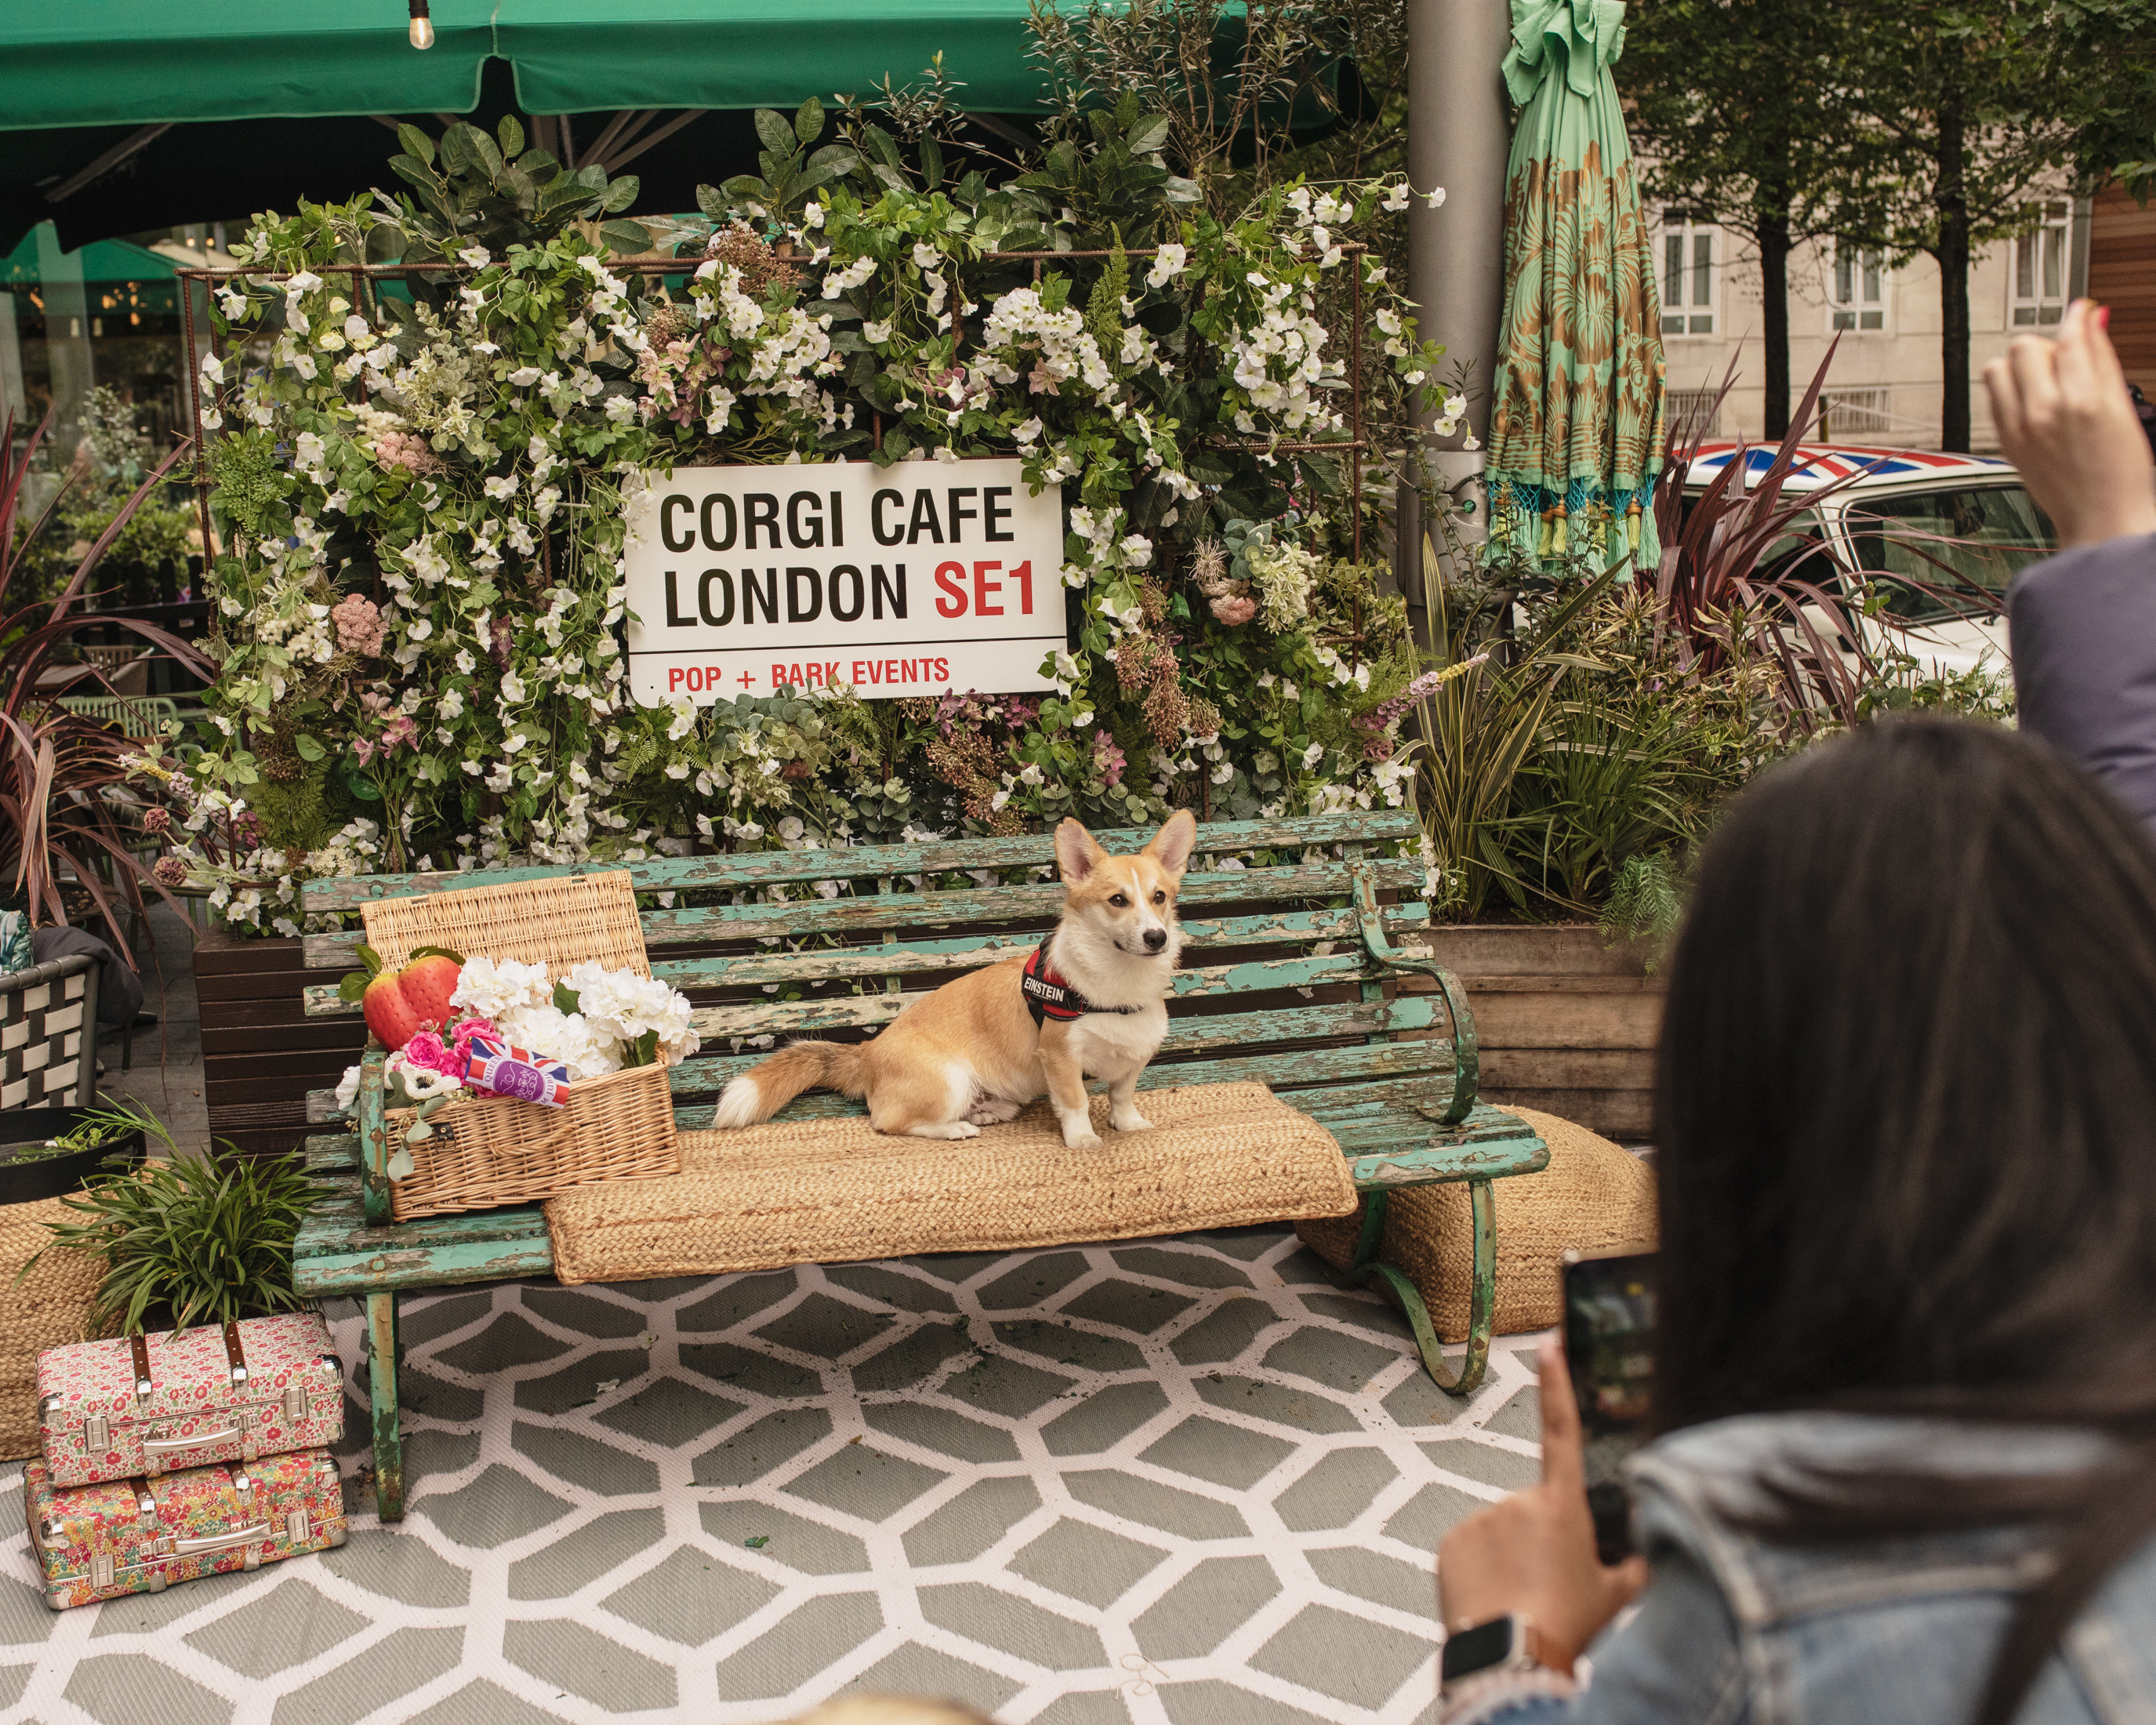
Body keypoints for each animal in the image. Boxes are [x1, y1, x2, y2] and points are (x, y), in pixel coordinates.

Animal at [716, 811, 1207, 1156]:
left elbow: (1122, 1094)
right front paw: (1083, 1139)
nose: (1157, 938)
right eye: (1117, 901)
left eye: (1160, 898)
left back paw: (987, 1113)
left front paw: (1128, 1124)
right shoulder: (1060, 1056)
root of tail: (868, 1054)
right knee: (889, 1122)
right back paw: (957, 1127)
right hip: (950, 1077)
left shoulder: (1136, 1054)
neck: (1119, 983)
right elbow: (1077, 1102)